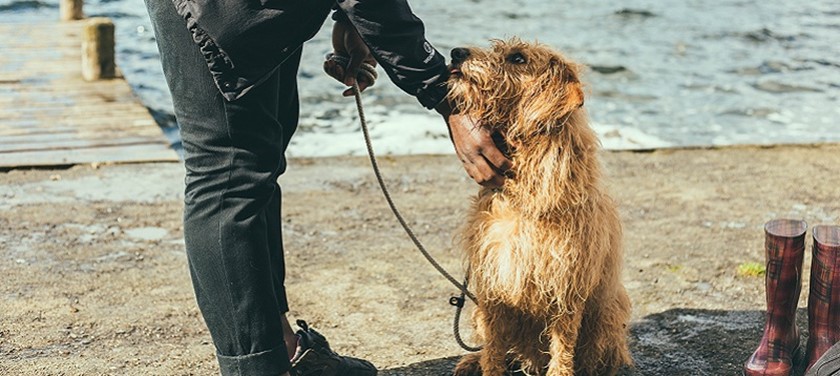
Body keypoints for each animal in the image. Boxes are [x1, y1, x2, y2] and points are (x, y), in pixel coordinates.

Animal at [446, 39, 632, 374]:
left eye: (518, 58)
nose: (456, 53)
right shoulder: (494, 286)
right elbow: (493, 351)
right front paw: (486, 365)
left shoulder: (565, 289)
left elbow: (562, 352)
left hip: (608, 313)